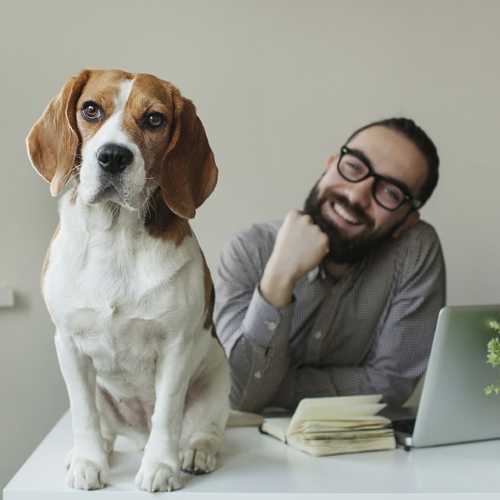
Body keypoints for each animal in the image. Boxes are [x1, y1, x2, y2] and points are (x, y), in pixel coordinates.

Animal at [26, 69, 230, 492]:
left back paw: (197, 452)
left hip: (217, 373)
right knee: (103, 424)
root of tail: (136, 435)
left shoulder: (176, 349)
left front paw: (161, 467)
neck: (115, 236)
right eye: (90, 109)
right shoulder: (68, 344)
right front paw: (89, 462)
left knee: (203, 430)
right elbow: (83, 414)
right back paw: (89, 451)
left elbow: (167, 416)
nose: (114, 156)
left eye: (154, 119)